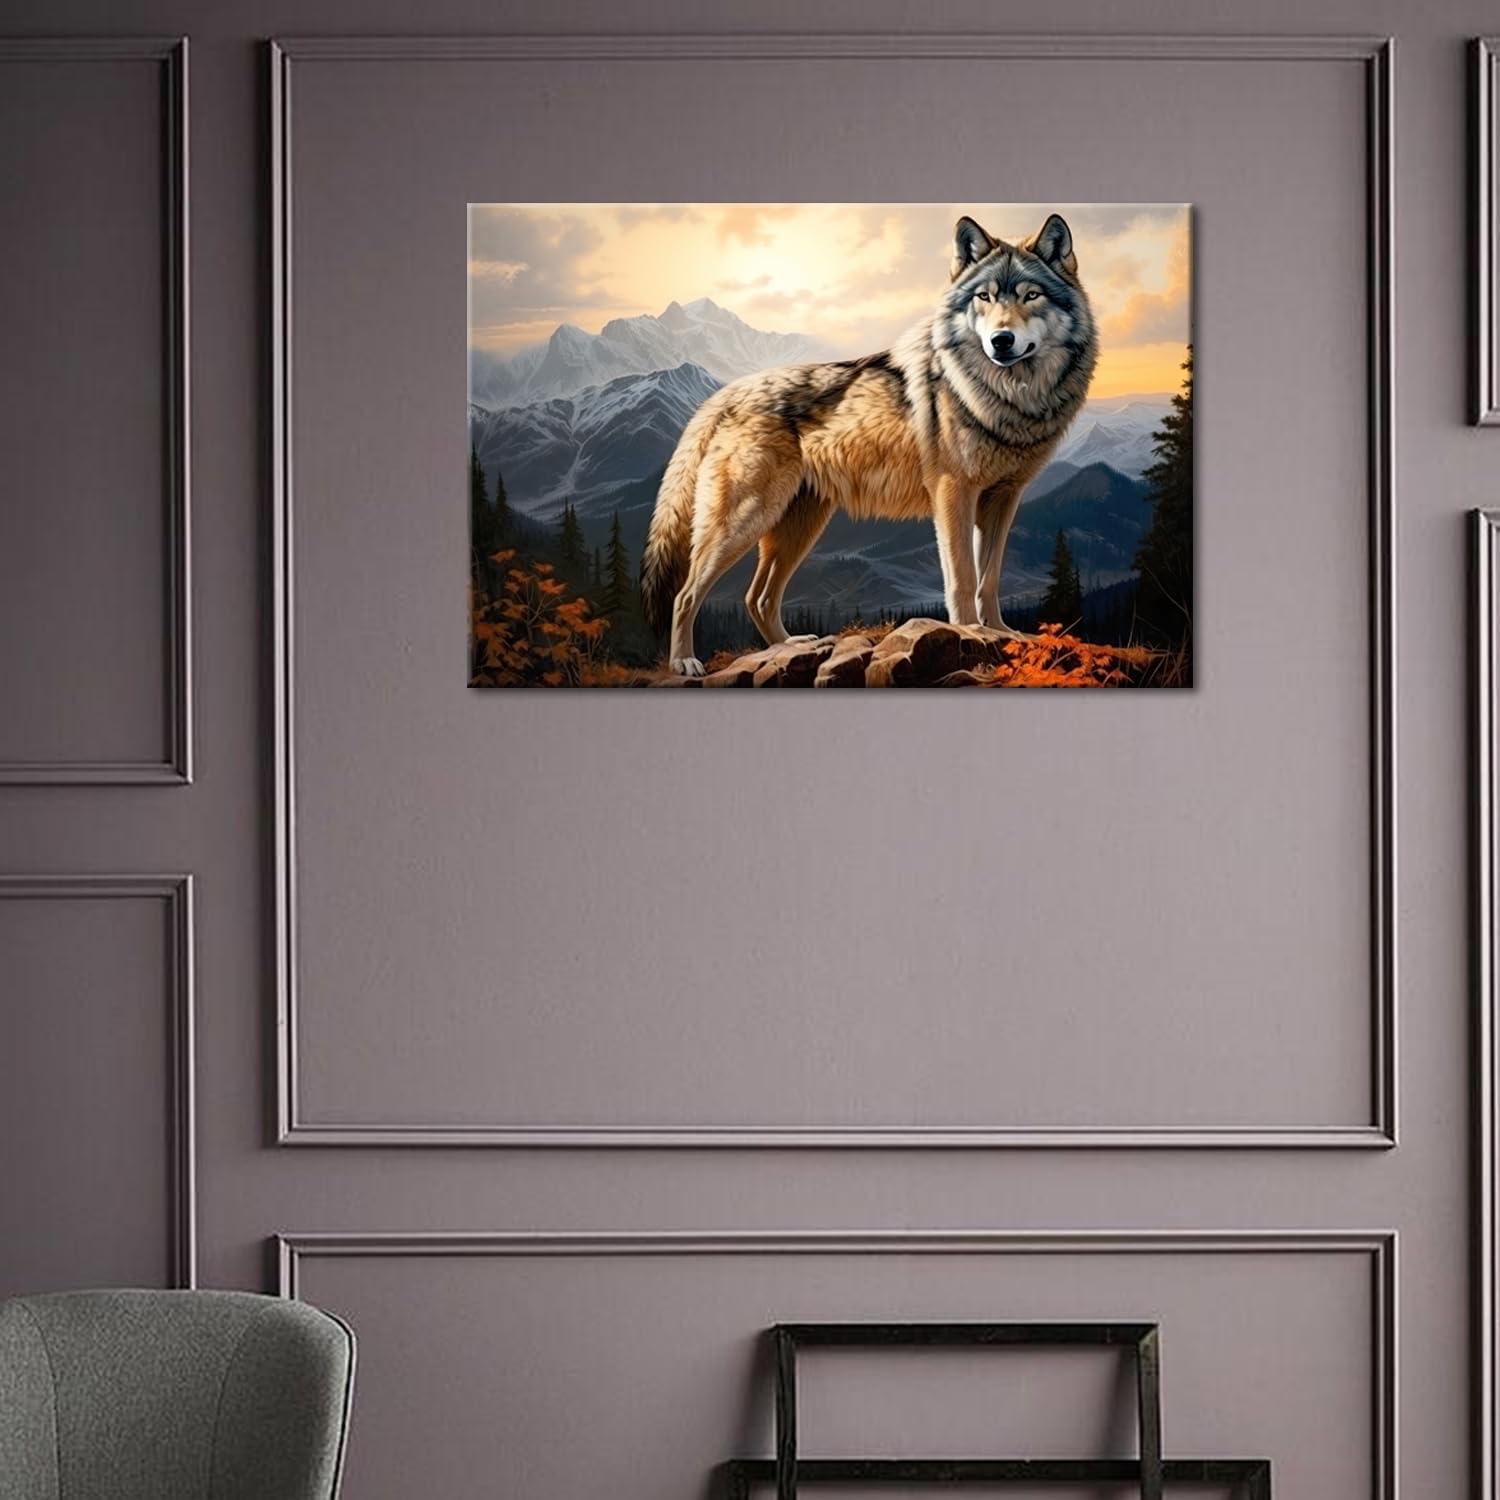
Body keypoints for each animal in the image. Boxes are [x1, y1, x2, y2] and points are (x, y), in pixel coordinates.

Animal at [638, 212, 1098, 676]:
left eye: (1031, 296)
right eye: (984, 297)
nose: (1001, 341)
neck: (1007, 396)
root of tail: (723, 395)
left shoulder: (1003, 499)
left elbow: (990, 578)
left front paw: (1001, 632)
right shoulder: (954, 493)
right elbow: (964, 578)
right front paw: (970, 632)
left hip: (799, 526)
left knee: (758, 597)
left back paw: (789, 646)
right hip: (746, 522)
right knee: (686, 594)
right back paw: (685, 662)